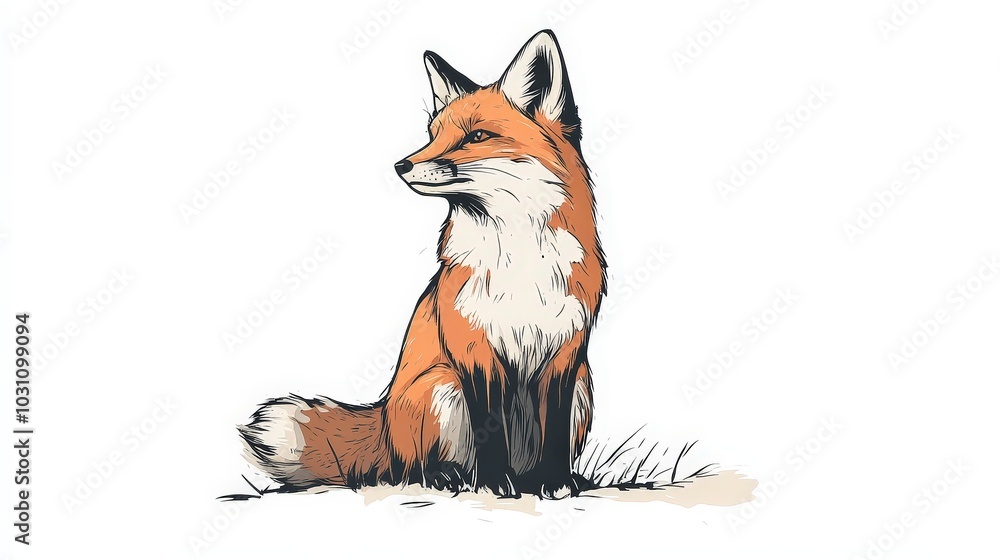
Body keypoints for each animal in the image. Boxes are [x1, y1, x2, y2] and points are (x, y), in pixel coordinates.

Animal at [239, 29, 607, 498]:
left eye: (476, 135)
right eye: (432, 134)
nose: (401, 165)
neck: (518, 261)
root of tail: (383, 416)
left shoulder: (565, 353)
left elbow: (554, 431)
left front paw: (556, 482)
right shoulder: (473, 350)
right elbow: (489, 428)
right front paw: (492, 483)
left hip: (583, 389)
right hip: (440, 388)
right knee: (411, 467)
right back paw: (449, 475)